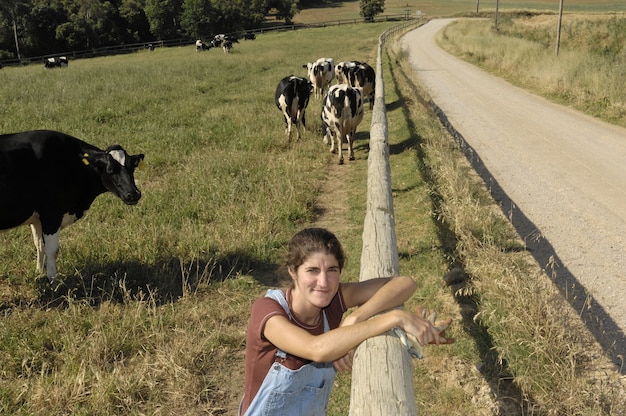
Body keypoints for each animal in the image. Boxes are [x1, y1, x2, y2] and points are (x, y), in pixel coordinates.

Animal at [0, 128, 144, 282]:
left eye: (132, 168)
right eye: (110, 169)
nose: (134, 194)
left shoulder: (38, 217)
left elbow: (39, 245)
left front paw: (39, 273)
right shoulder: (52, 213)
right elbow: (52, 250)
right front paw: (53, 281)